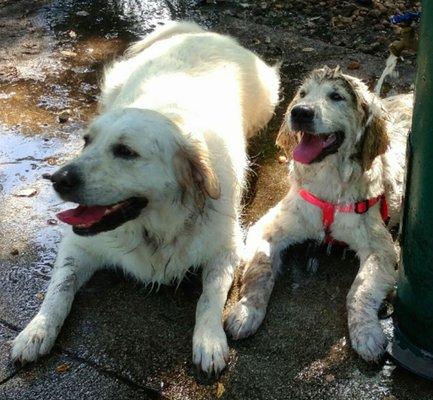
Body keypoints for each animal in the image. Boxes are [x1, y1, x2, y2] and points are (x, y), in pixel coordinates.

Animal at [12, 21, 280, 374]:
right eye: (87, 142)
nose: (57, 180)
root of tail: (202, 32)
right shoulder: (78, 244)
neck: (156, 227)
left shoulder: (227, 248)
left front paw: (209, 340)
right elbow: (59, 288)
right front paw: (36, 330)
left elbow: (209, 297)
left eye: (126, 151)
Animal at [224, 66, 410, 362]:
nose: (299, 112)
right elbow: (260, 269)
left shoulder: (381, 248)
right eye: (302, 94)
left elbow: (360, 290)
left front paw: (367, 333)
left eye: (336, 96)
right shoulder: (266, 227)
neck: (329, 185)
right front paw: (245, 311)